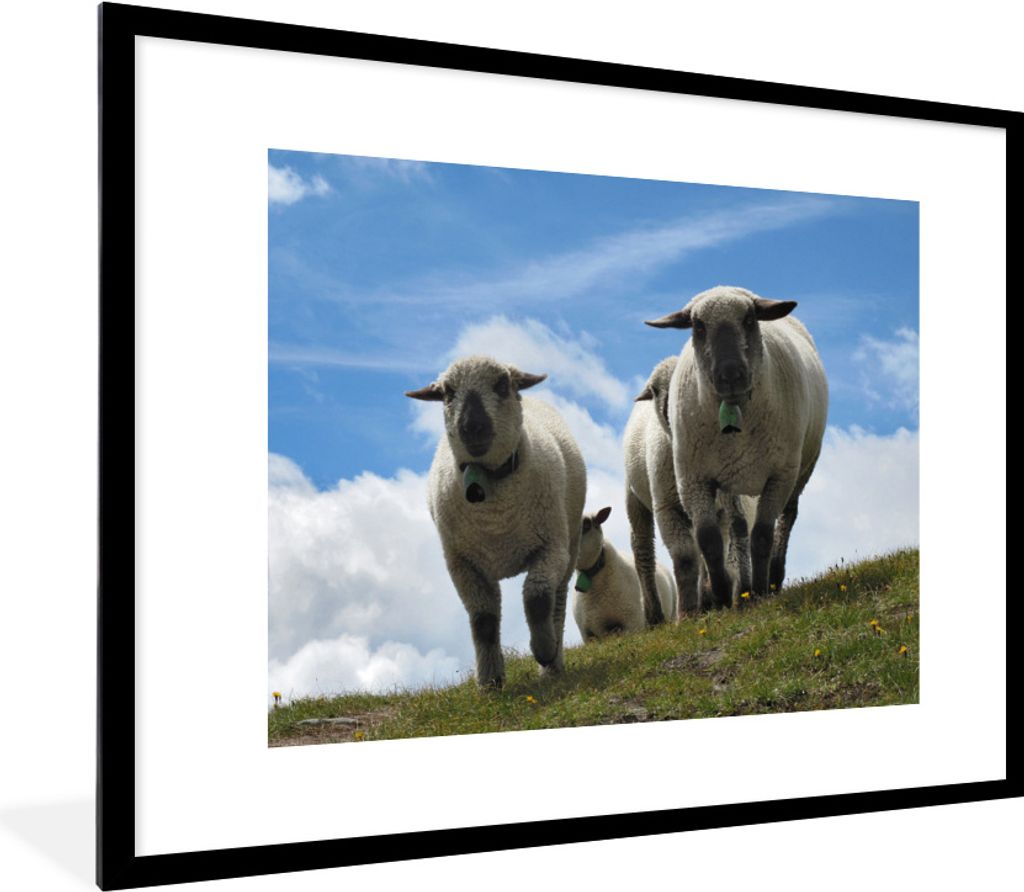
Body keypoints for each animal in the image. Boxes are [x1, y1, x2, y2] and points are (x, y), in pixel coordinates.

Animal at [406, 355, 586, 688]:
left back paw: (552, 665)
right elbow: (484, 620)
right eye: (448, 393)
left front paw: (543, 649)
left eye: (502, 385)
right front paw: (489, 681)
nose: (472, 427)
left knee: (556, 602)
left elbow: (537, 597)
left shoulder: (551, 548)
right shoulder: (463, 565)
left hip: (569, 546)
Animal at [625, 356, 753, 615]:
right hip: (636, 500)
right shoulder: (666, 507)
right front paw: (686, 613)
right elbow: (684, 558)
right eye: (656, 390)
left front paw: (716, 595)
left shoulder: (721, 508)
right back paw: (655, 614)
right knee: (643, 550)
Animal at [646, 285, 828, 607]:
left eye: (749, 319)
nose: (731, 375)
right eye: (698, 326)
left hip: (801, 468)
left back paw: (773, 578)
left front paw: (759, 591)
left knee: (786, 520)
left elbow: (763, 536)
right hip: (729, 479)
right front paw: (719, 595)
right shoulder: (693, 479)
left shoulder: (779, 476)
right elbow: (708, 539)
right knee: (737, 527)